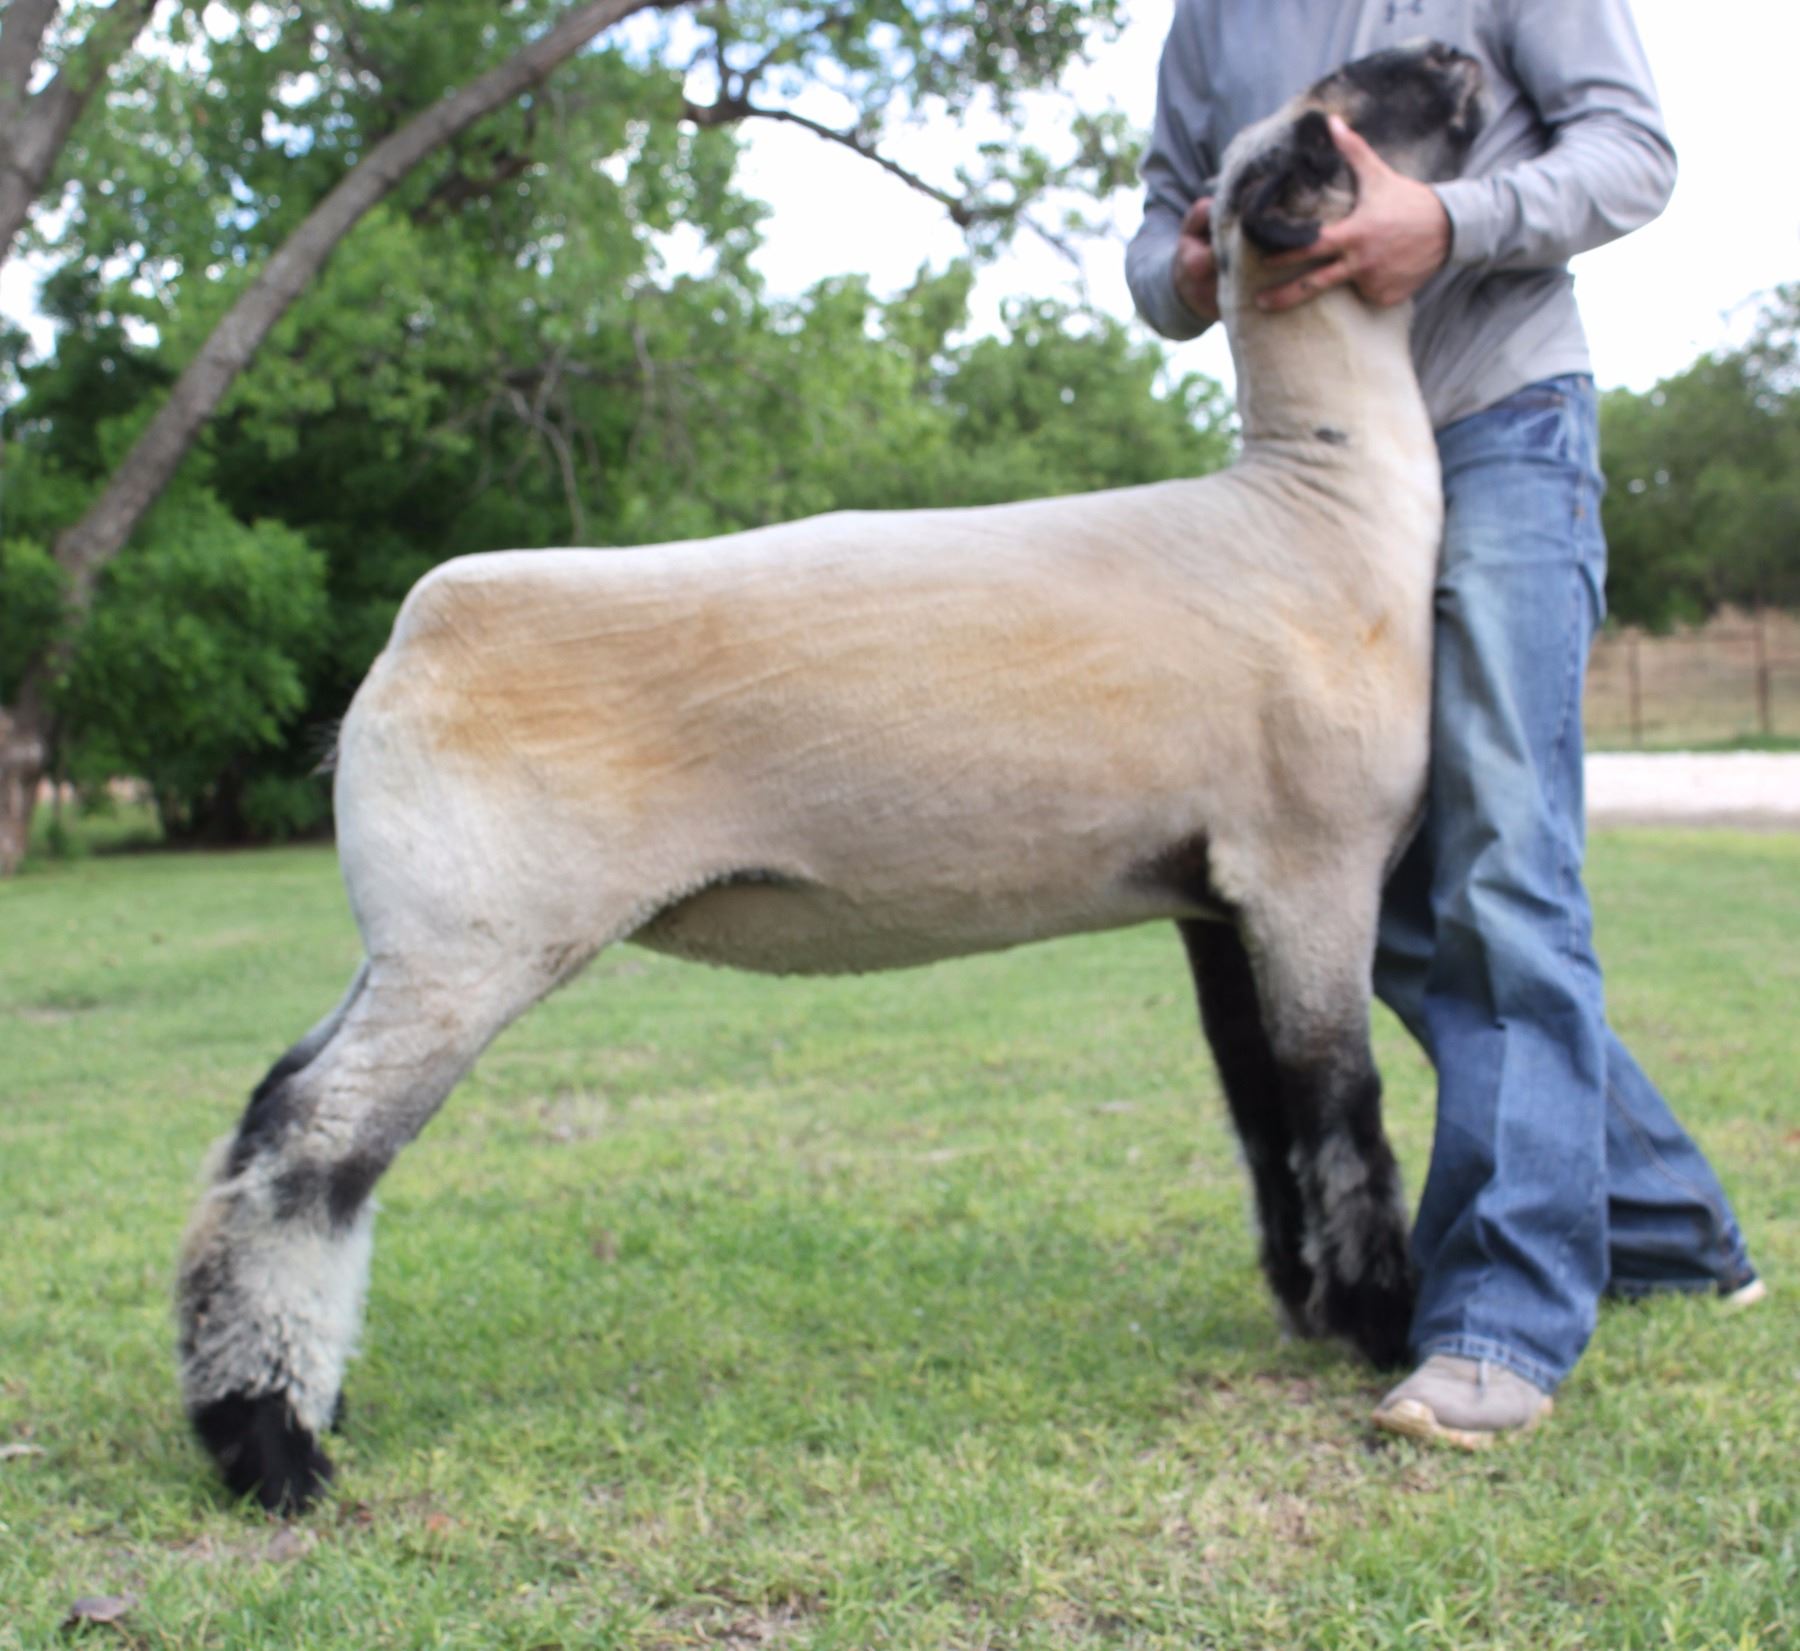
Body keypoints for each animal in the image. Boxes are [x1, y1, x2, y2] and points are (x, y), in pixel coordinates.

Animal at [176, 40, 1486, 1512]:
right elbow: (1343, 1103)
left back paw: (296, 1398)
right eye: (1345, 105)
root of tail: (412, 637)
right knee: (311, 1148)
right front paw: (1384, 1316)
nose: (1457, 55)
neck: (1318, 513)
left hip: (410, 930)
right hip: (475, 936)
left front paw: (1311, 1303)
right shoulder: (1312, 863)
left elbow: (1263, 1106)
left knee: (270, 1102)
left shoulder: (1213, 892)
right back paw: (269, 1443)